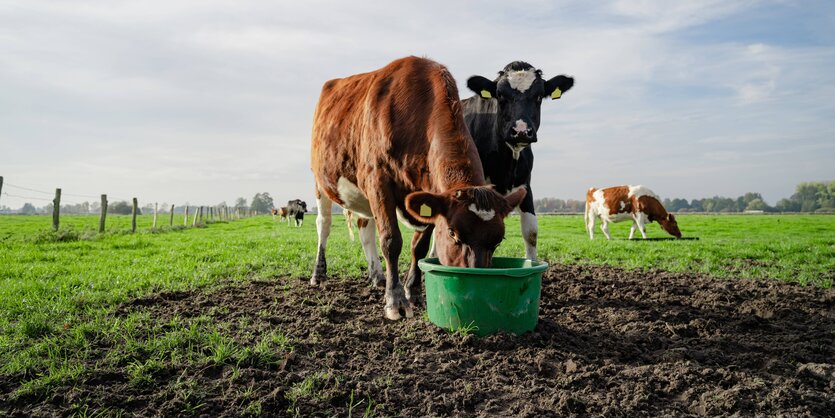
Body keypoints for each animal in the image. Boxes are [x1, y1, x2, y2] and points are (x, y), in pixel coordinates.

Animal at [310, 56, 524, 320]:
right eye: (453, 234)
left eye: (498, 240)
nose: (477, 280)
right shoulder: (377, 179)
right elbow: (391, 240)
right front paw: (396, 301)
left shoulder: (432, 194)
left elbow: (419, 247)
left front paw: (413, 293)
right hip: (321, 181)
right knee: (324, 225)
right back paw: (319, 274)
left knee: (364, 227)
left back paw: (377, 276)